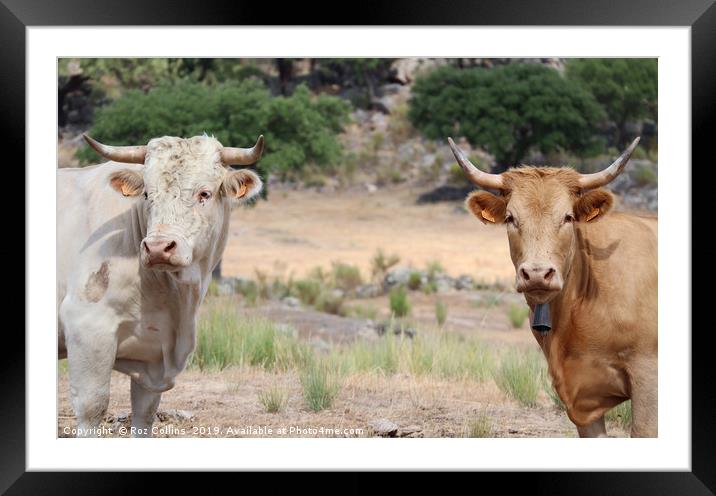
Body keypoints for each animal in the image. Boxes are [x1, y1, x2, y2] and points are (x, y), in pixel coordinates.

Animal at [56, 134, 262, 436]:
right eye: (146, 195)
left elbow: (144, 414)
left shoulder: (153, 356)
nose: (157, 248)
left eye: (204, 194)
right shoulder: (86, 328)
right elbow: (93, 406)